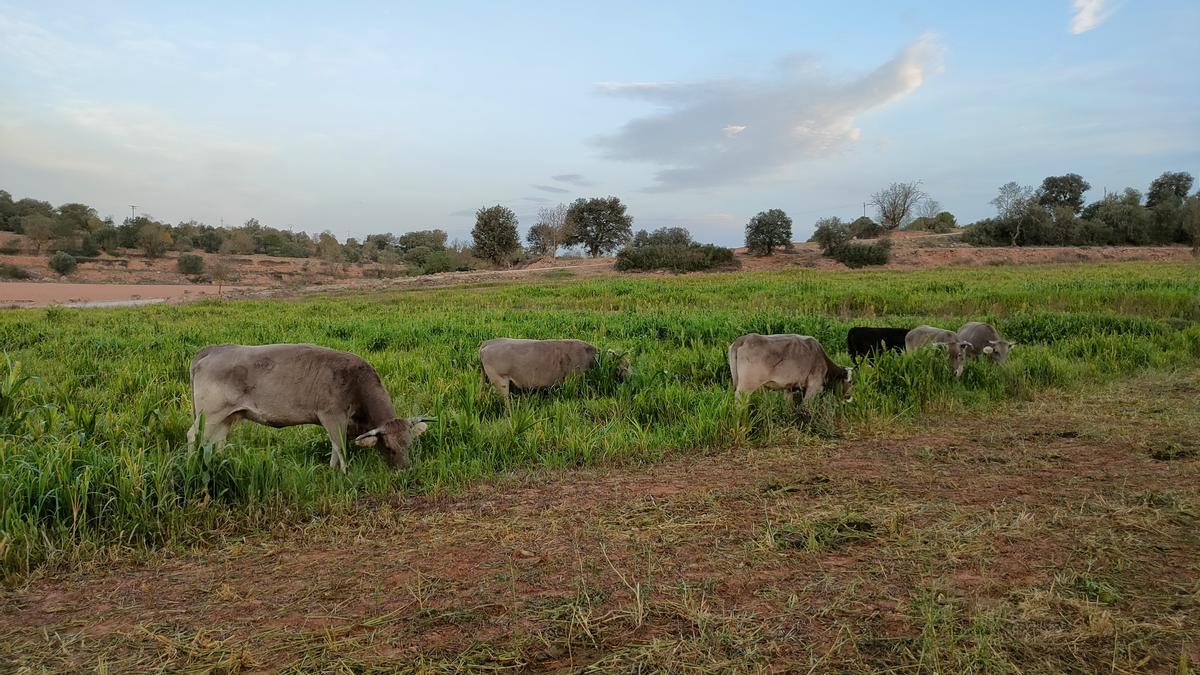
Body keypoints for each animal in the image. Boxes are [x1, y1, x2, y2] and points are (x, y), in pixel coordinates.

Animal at [184, 341, 434, 468]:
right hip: (210, 414)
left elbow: (336, 447)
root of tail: (215, 350)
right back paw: (190, 466)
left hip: (226, 417)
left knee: (217, 442)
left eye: (410, 444)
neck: (356, 383)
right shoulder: (332, 417)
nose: (405, 469)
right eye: (389, 448)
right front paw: (342, 473)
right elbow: (340, 448)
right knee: (193, 436)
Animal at [720, 333, 854, 401]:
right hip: (747, 385)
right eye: (850, 382)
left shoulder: (789, 387)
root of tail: (743, 339)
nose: (850, 397)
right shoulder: (814, 386)